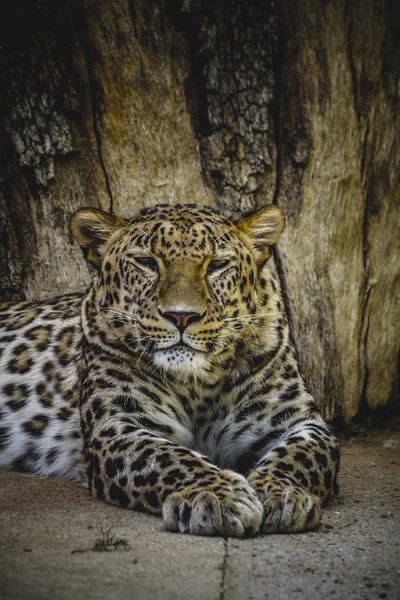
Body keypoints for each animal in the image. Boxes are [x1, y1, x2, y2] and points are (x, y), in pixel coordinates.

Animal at [0, 204, 340, 536]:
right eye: (146, 262)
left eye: (217, 265)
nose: (181, 316)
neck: (200, 384)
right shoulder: (117, 425)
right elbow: (168, 457)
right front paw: (217, 495)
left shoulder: (298, 421)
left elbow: (300, 455)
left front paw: (281, 493)